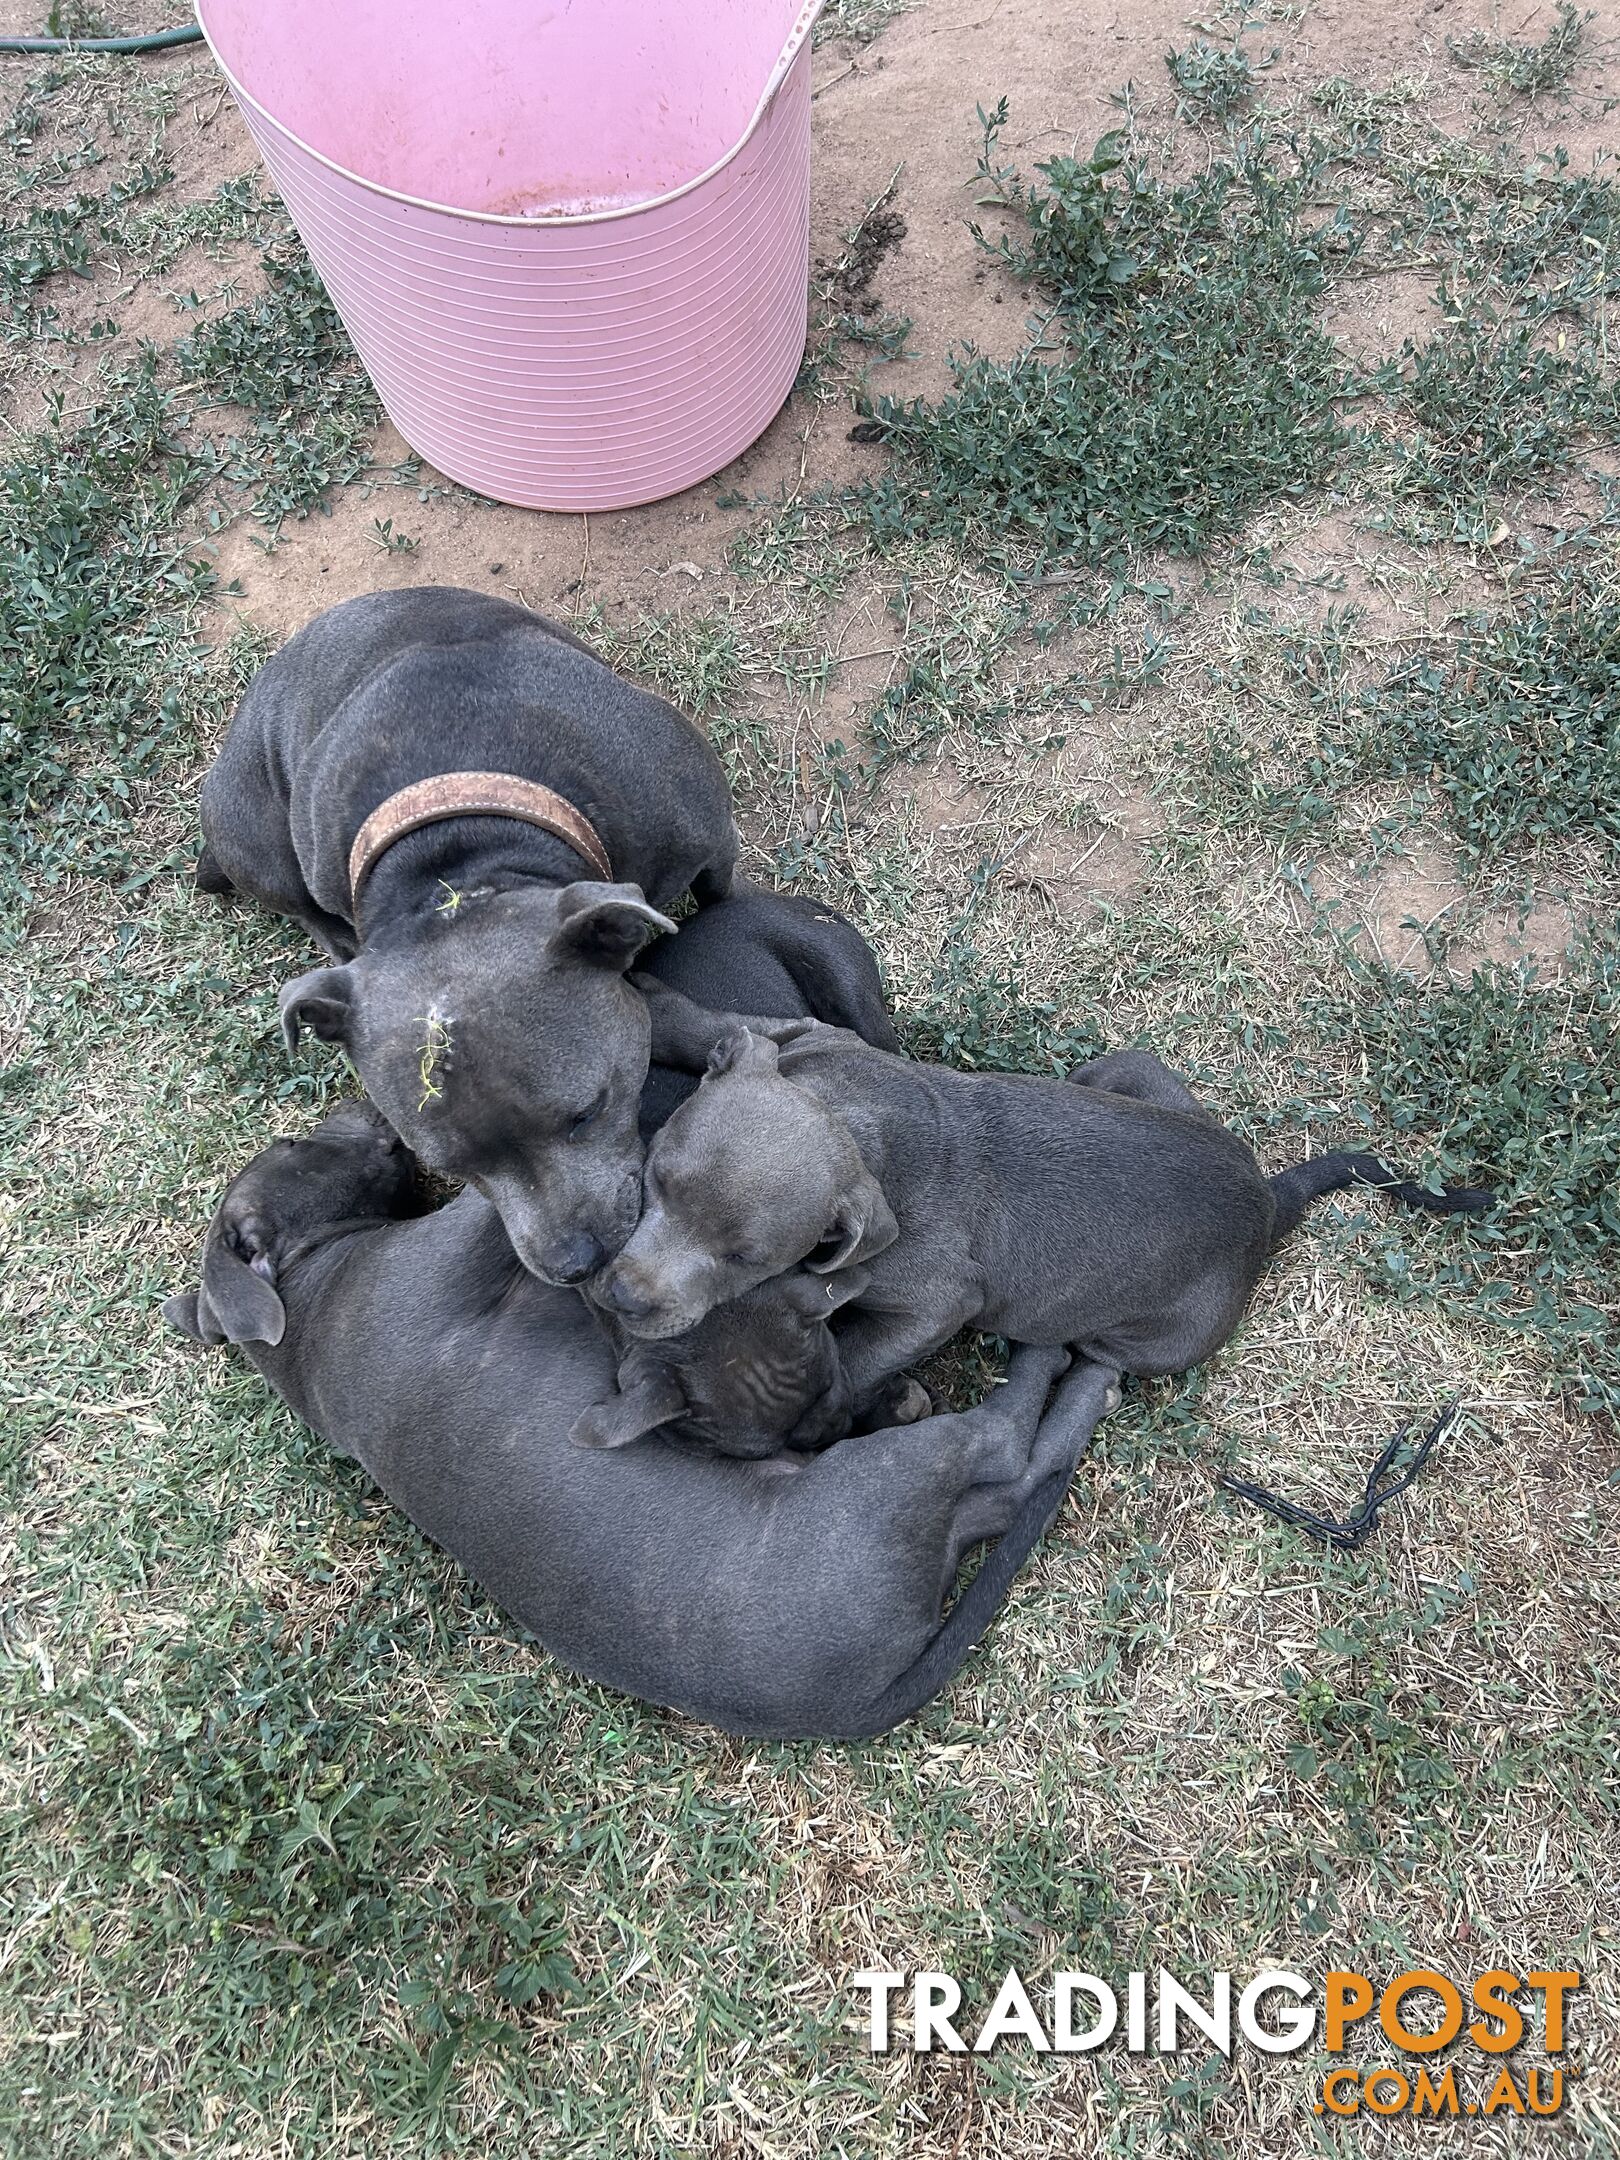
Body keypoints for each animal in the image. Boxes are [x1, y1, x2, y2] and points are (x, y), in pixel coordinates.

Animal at [168, 1105, 1131, 1745]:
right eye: (294, 1147)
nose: (368, 1115)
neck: (307, 1300)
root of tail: (862, 1700)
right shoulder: (461, 1249)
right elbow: (510, 1210)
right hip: (886, 1488)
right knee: (1010, 1449)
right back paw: (1068, 1366)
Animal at [195, 583, 743, 1278]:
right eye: (452, 1167)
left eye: (587, 1113)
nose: (573, 1263)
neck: (461, 860)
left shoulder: (709, 835)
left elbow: (722, 894)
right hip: (269, 849)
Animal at [596, 1028, 1494, 1399]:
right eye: (658, 1177)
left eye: (747, 1258)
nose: (624, 1297)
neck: (856, 1121)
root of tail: (1265, 1200)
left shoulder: (940, 1301)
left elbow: (862, 1355)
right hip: (1127, 1071)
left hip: (1152, 1338)